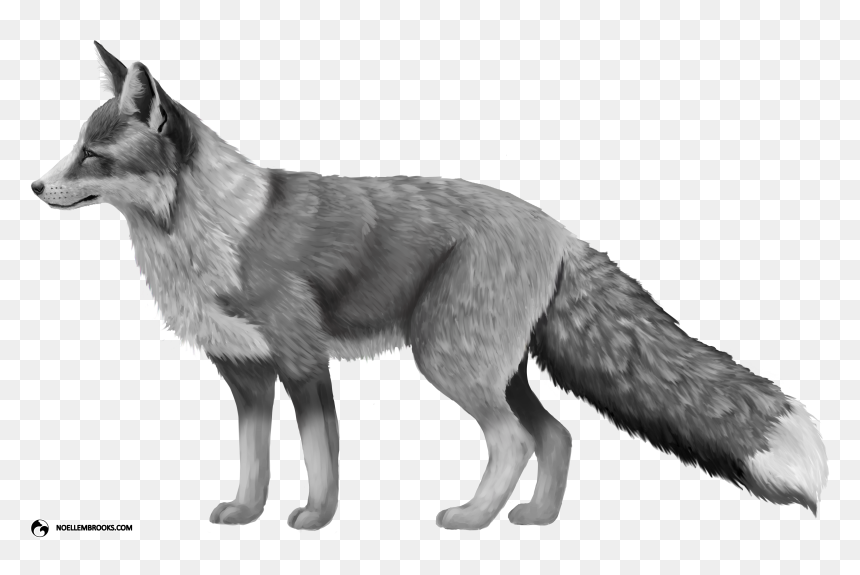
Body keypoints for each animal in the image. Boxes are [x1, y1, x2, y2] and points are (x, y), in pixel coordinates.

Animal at [31, 42, 828, 530]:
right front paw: (245, 513)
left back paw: (472, 518)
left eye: (94, 156)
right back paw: (536, 519)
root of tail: (558, 227)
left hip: (448, 360)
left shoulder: (302, 360)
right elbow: (255, 459)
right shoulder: (246, 374)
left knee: (515, 440)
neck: (208, 232)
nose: (36, 186)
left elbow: (319, 455)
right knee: (557, 435)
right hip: (492, 367)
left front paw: (315, 520)